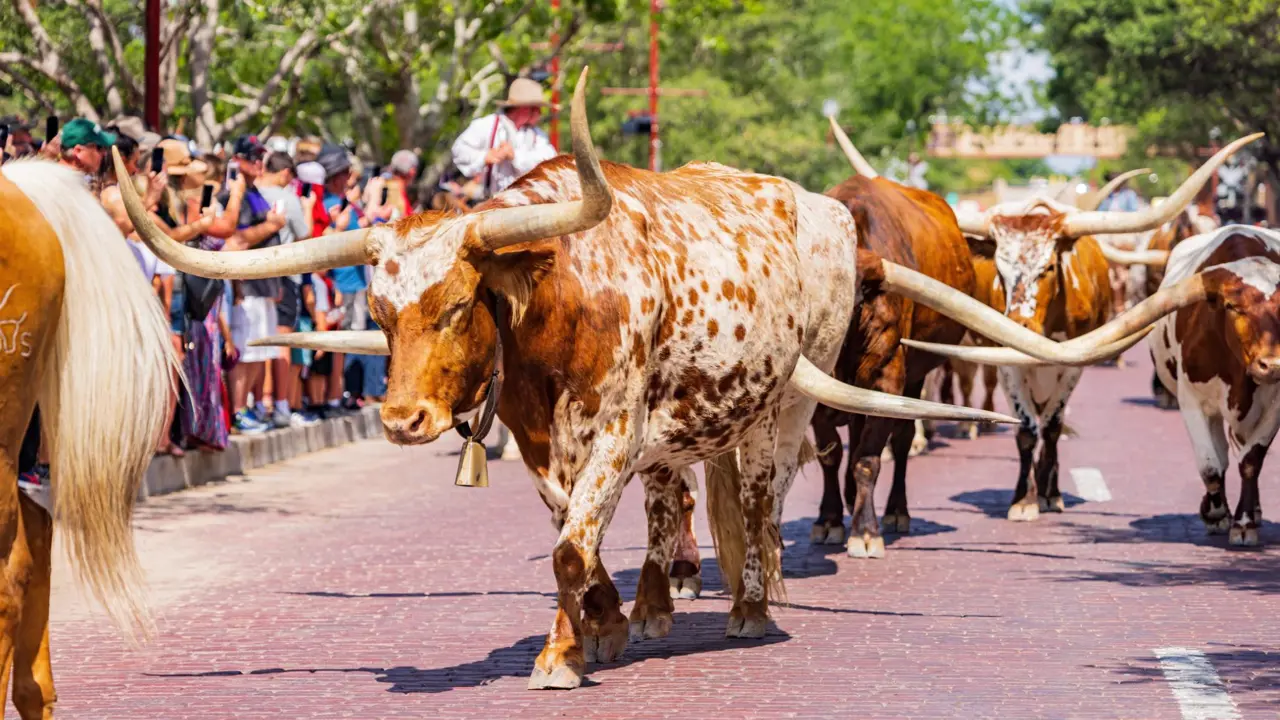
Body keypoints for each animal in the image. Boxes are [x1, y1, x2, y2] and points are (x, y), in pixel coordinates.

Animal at [806, 118, 979, 558]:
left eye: (844, 291)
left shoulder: (888, 377)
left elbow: (868, 457)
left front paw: (865, 532)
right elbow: (832, 454)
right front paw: (829, 520)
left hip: (913, 379)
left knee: (900, 442)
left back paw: (896, 512)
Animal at [896, 133, 1263, 522]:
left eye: (1048, 268)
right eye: (999, 268)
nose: (1017, 323)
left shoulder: (1073, 366)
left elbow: (1052, 426)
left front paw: (1049, 493)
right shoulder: (1008, 365)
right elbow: (1026, 429)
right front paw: (1023, 499)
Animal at [1150, 225, 1280, 546]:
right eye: (1233, 306)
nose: (1272, 365)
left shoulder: (1276, 406)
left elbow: (1251, 461)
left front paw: (1244, 522)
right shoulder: (1192, 401)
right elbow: (1210, 464)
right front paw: (1216, 513)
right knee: (1220, 454)